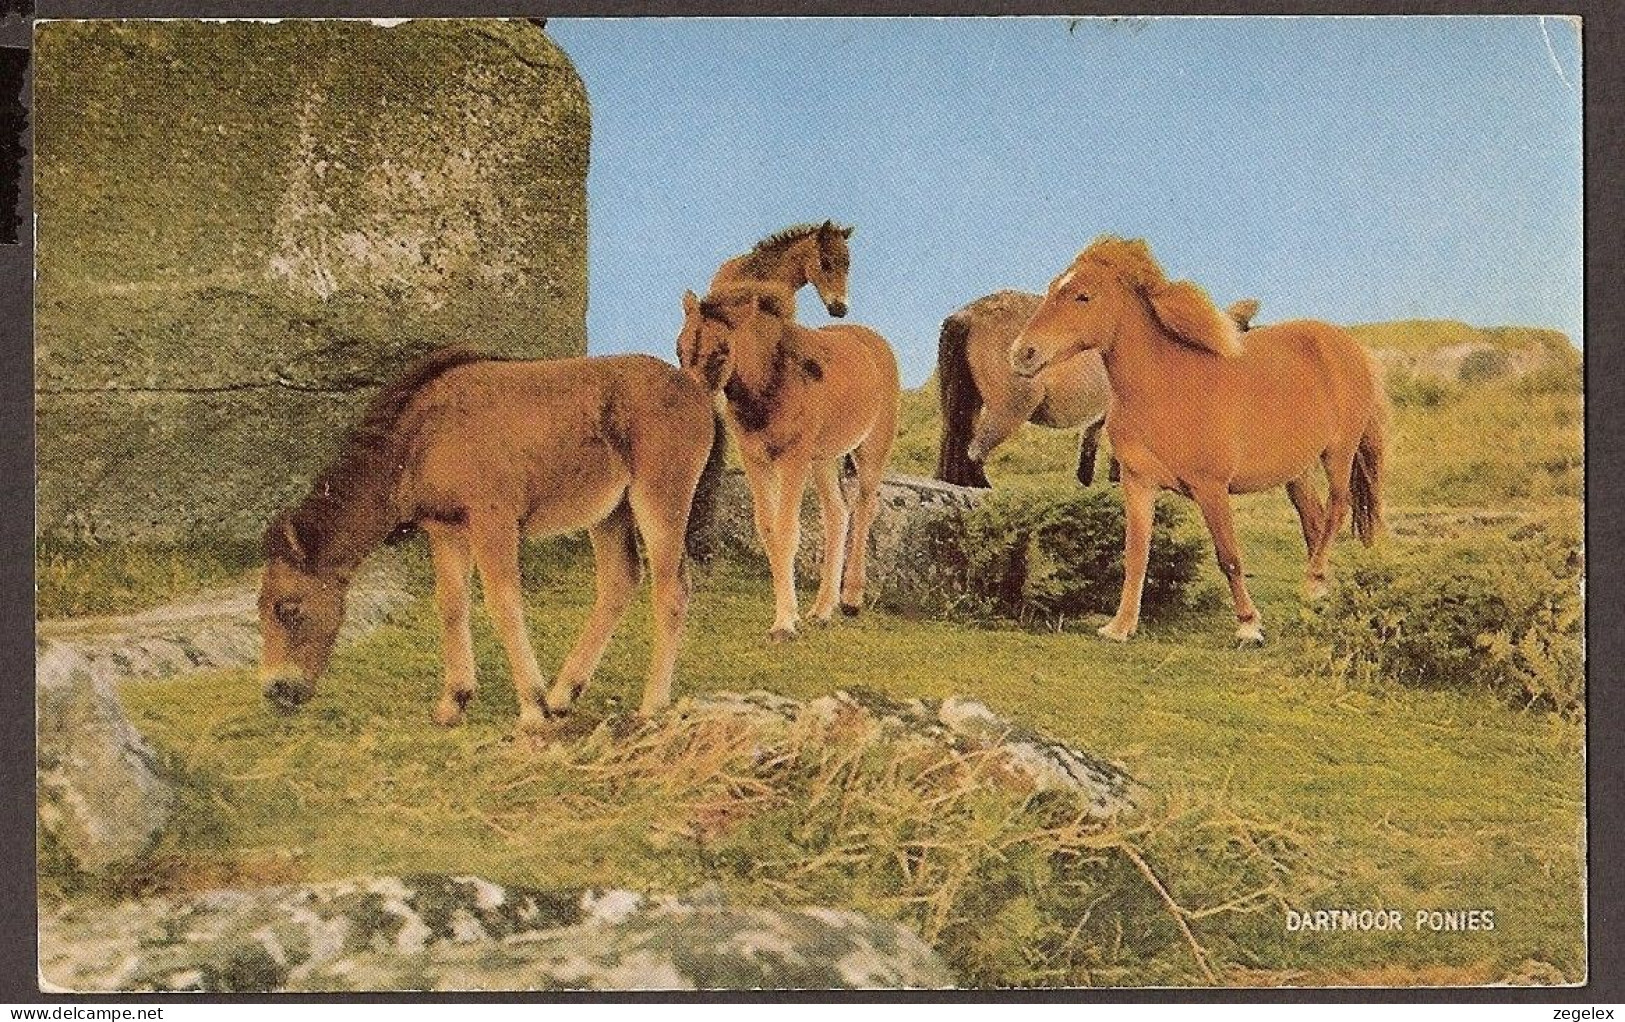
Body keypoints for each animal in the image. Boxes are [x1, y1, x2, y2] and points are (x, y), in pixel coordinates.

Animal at [676, 274, 903, 633]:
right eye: (680, 348)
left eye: (722, 352)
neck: (768, 382)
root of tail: (875, 341)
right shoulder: (756, 459)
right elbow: (768, 528)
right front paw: (790, 614)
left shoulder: (792, 458)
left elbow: (787, 529)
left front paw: (784, 624)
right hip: (824, 458)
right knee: (837, 514)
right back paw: (822, 610)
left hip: (871, 449)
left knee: (865, 507)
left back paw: (851, 601)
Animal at [936, 287, 1261, 487]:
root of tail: (968, 315)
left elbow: (1090, 444)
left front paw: (1087, 480)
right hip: (1011, 405)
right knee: (975, 447)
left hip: (967, 397)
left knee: (958, 436)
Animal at [1007, 235, 1378, 640]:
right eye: (1051, 289)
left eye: (1083, 296)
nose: (1021, 354)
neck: (1164, 389)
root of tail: (1349, 346)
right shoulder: (1138, 483)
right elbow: (1135, 555)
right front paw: (1120, 627)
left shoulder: (1211, 488)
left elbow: (1229, 556)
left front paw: (1248, 625)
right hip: (1298, 472)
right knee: (1314, 520)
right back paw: (1318, 592)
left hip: (1338, 454)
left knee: (1337, 509)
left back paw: (1312, 582)